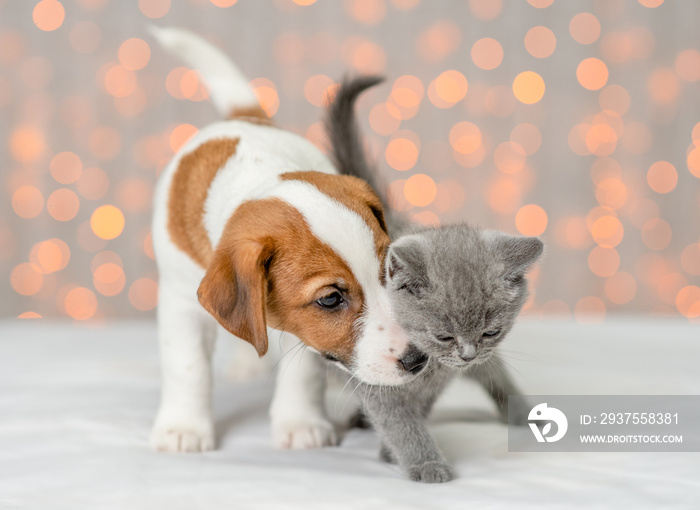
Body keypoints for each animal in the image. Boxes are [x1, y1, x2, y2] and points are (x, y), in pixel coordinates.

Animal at [149, 25, 422, 452]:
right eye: (331, 299)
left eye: (391, 272)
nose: (418, 360)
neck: (259, 171)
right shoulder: (180, 301)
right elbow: (187, 366)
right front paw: (184, 427)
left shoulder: (302, 331)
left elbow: (303, 371)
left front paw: (300, 421)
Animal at [326, 77, 544, 484]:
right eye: (443, 336)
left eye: (490, 331)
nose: (467, 353)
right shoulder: (378, 383)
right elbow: (401, 423)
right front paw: (425, 464)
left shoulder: (442, 380)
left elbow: (419, 412)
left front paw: (392, 453)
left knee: (496, 375)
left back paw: (524, 416)